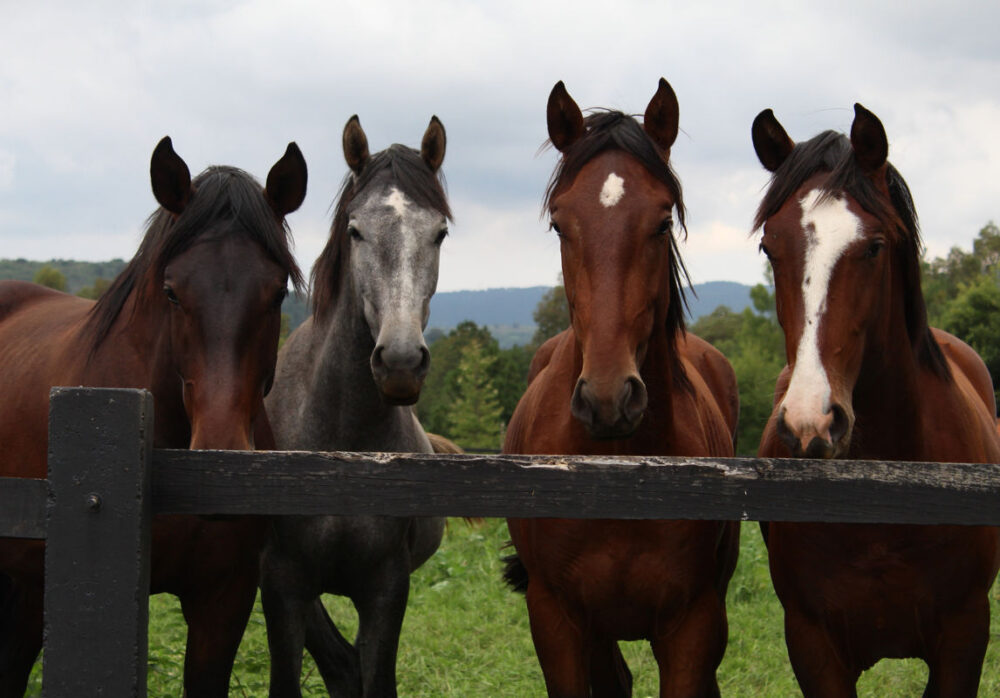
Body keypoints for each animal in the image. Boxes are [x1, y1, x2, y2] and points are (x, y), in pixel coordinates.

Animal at [504, 79, 740, 696]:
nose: (608, 399)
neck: (619, 476)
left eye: (662, 222)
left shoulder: (692, 625)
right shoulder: (557, 621)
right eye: (560, 224)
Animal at [752, 104, 1000, 696]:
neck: (883, 492)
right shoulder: (812, 645)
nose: (811, 422)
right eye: (770, 247)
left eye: (873, 247)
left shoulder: (965, 638)